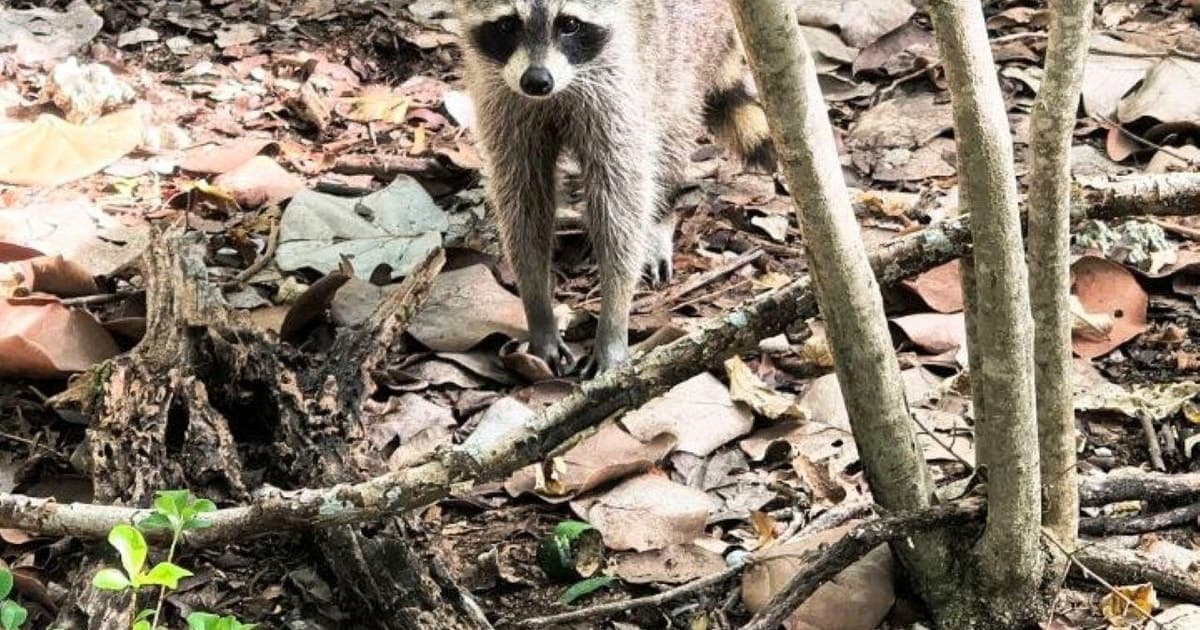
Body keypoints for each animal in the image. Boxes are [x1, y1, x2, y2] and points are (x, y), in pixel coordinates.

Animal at [455, 0, 774, 375]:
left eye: (569, 24)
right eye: (507, 25)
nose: (537, 81)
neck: (560, 90)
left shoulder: (617, 87)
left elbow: (620, 204)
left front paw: (613, 319)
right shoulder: (501, 95)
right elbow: (522, 199)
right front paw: (538, 308)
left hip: (687, 50)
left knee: (669, 136)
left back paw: (660, 218)